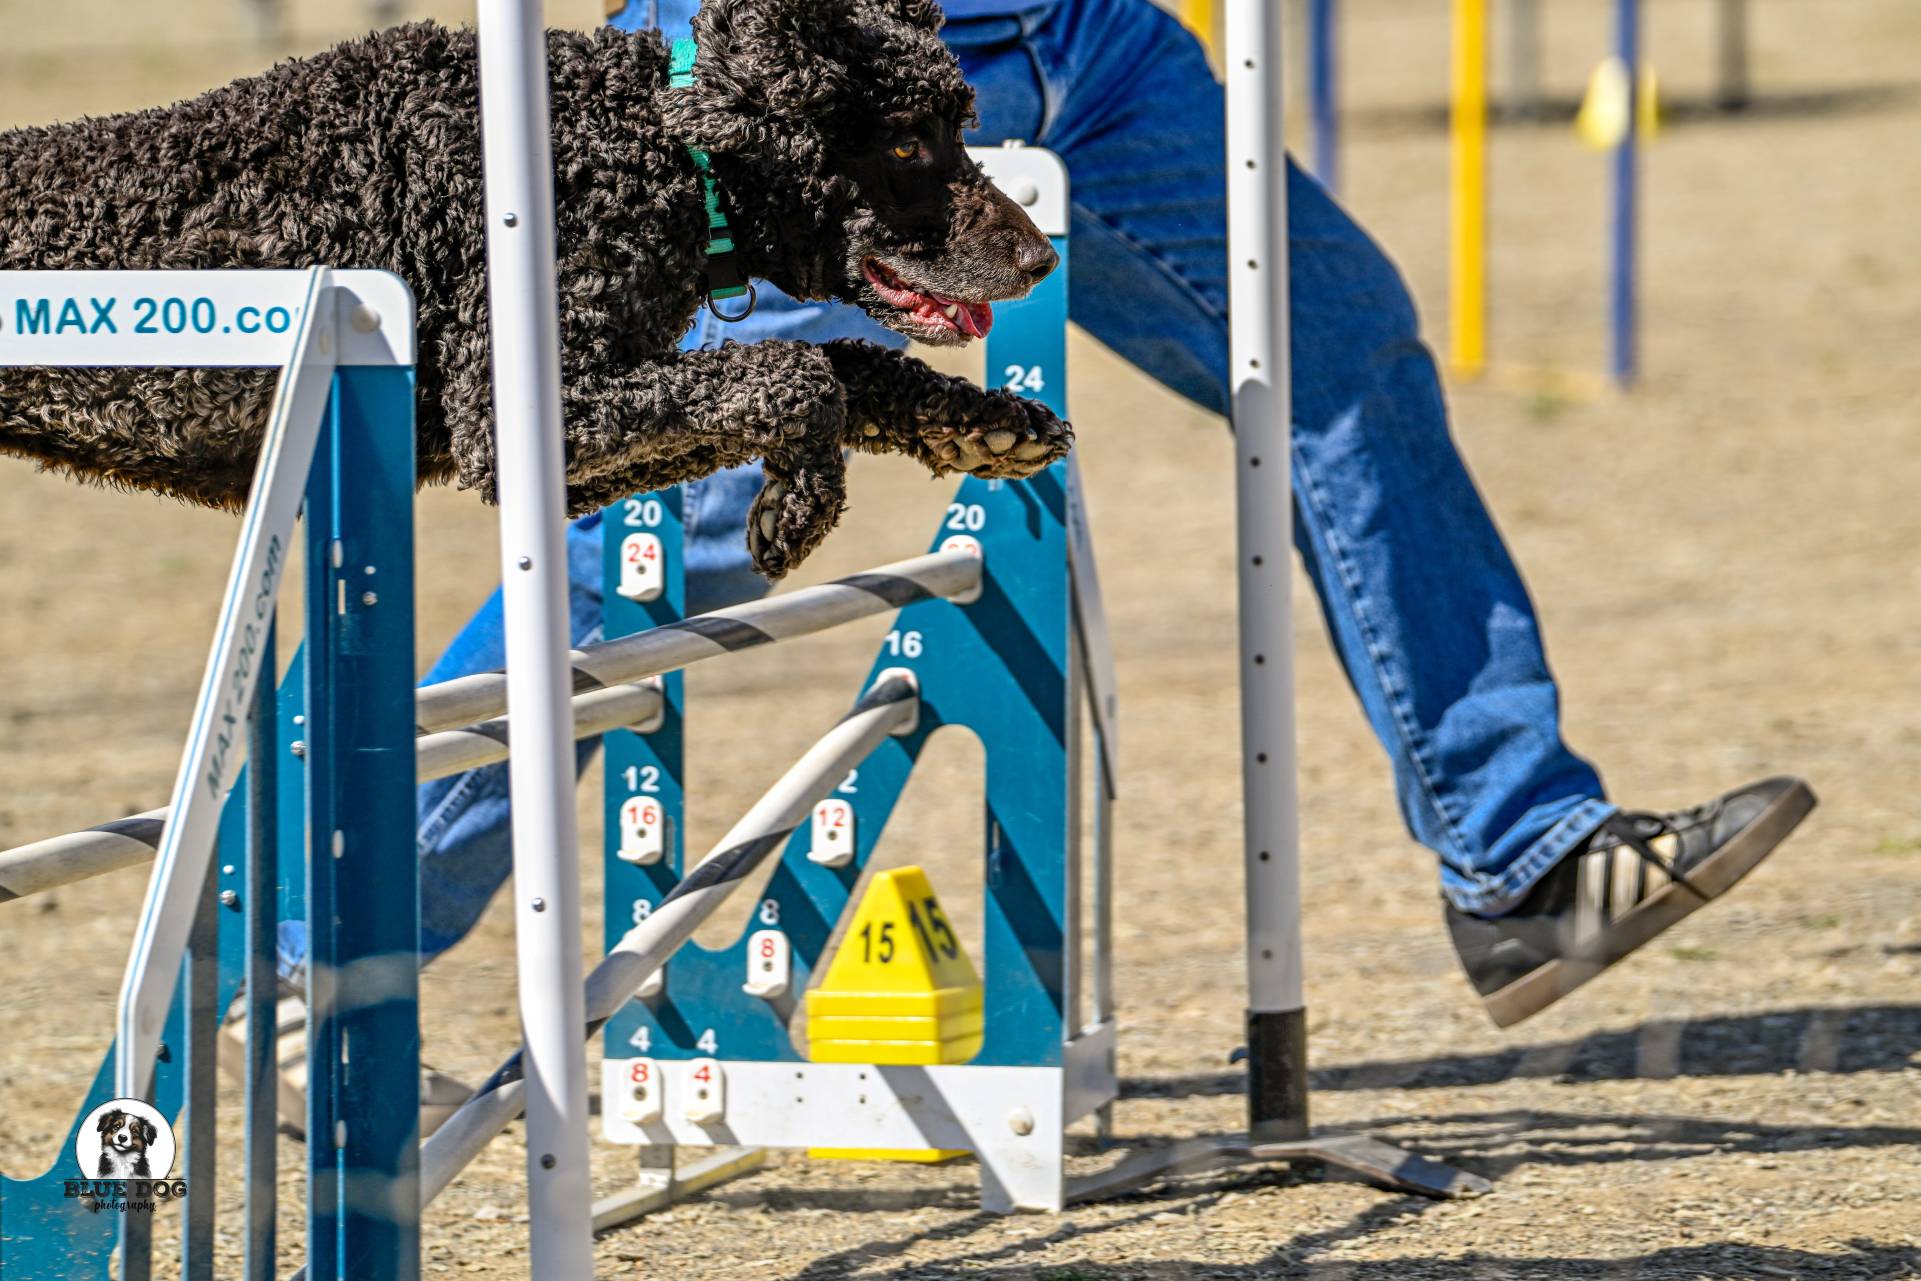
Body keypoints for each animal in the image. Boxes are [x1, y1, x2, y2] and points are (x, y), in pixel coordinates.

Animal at [0, 0, 1070, 578]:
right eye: (906, 140)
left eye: (960, 123)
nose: (1039, 259)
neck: (651, 149)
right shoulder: (516, 414)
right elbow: (797, 375)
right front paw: (795, 511)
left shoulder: (569, 443)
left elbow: (838, 367)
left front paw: (983, 424)